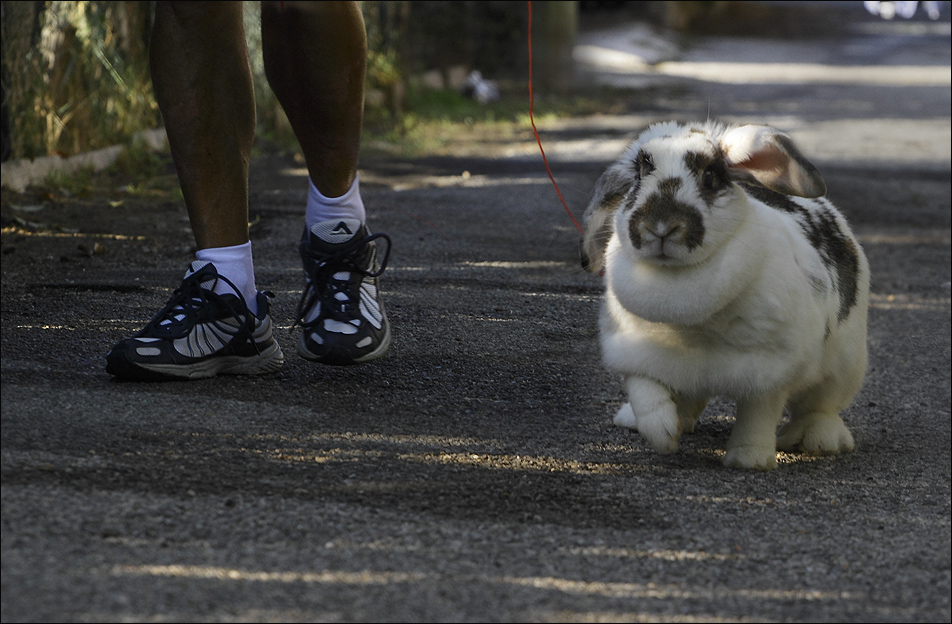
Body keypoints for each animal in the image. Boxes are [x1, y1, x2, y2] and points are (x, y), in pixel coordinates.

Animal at [580, 120, 872, 468]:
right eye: (639, 174)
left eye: (710, 176)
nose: (661, 226)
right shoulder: (635, 356)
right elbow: (646, 396)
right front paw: (664, 435)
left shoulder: (769, 369)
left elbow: (758, 415)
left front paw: (749, 460)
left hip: (843, 363)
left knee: (820, 404)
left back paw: (819, 440)